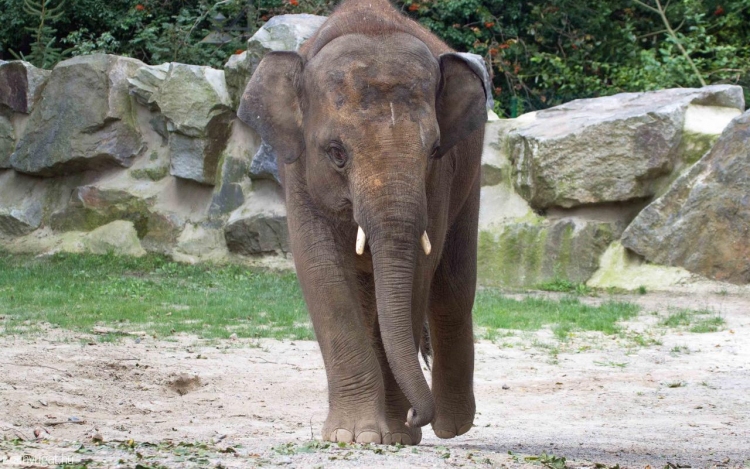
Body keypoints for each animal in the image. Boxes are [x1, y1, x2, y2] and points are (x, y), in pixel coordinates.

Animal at [238, 0, 490, 446]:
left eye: (433, 150)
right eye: (336, 152)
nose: (415, 416)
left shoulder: (441, 179)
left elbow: (419, 273)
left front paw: (395, 435)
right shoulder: (298, 170)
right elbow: (320, 267)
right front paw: (352, 435)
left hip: (470, 175)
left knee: (452, 285)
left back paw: (452, 427)